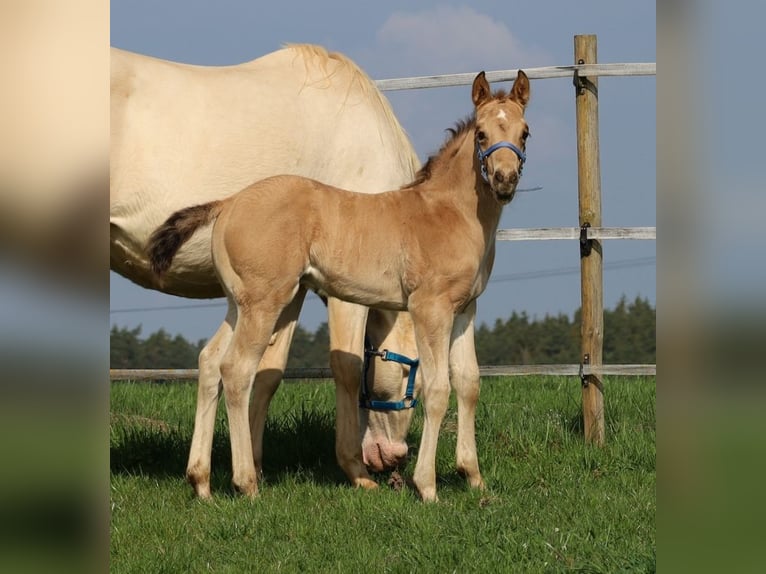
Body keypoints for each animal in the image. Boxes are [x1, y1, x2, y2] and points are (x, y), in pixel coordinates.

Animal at [111, 44, 422, 497]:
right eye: (405, 371)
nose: (394, 458)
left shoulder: (292, 289)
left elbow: (267, 373)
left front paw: (247, 467)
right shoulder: (342, 294)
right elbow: (345, 369)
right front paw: (353, 471)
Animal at [148, 70, 531, 501]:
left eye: (525, 133)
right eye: (481, 134)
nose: (504, 181)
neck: (448, 212)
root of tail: (228, 204)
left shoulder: (465, 309)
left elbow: (469, 383)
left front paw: (474, 477)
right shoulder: (429, 308)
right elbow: (437, 389)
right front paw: (428, 486)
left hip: (238, 303)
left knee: (210, 361)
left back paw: (201, 481)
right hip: (265, 302)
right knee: (237, 369)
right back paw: (246, 482)